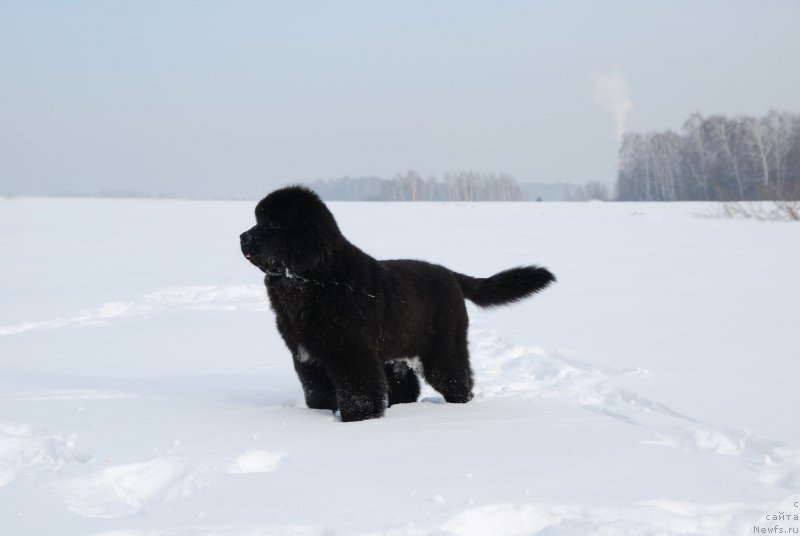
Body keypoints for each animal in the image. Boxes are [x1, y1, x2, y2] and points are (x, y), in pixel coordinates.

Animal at [239, 186, 556, 420]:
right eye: (258, 220)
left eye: (275, 224)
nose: (242, 236)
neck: (313, 278)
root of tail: (449, 273)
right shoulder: (306, 354)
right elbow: (316, 391)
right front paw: (323, 413)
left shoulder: (351, 350)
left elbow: (359, 390)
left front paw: (360, 419)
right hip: (396, 352)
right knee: (406, 386)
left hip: (443, 348)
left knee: (457, 380)